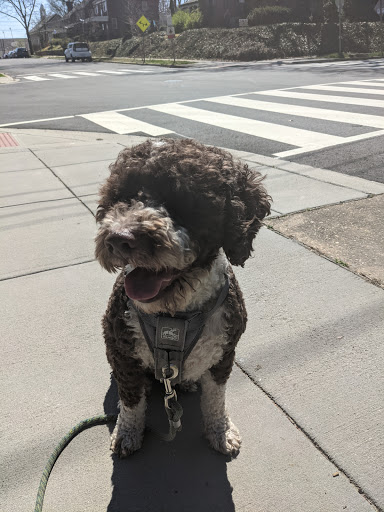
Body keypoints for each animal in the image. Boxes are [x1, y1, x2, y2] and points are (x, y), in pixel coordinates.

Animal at [95, 138, 270, 458]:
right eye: (118, 197)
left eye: (182, 196)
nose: (118, 238)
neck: (174, 314)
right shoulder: (123, 352)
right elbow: (131, 400)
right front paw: (127, 432)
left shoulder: (223, 353)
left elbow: (215, 399)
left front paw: (220, 431)